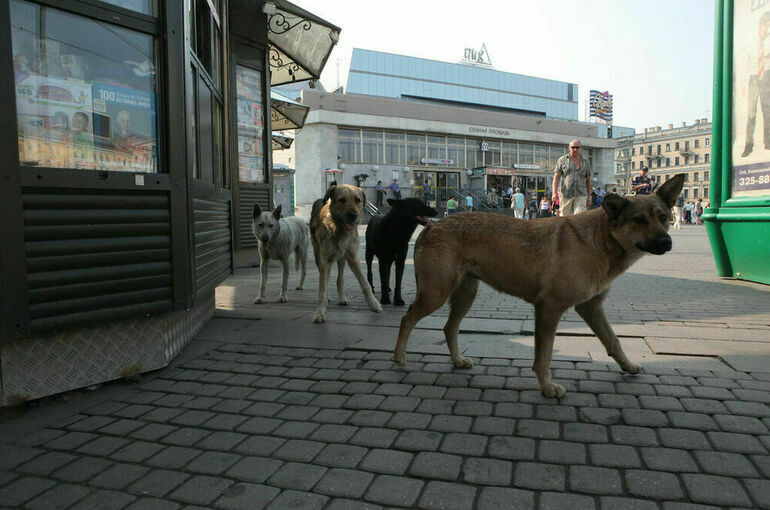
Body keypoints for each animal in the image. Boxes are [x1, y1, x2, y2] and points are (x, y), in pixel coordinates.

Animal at [308, 184, 380, 322]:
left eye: (357, 200)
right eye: (341, 200)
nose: (353, 215)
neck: (339, 231)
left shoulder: (353, 257)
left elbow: (365, 283)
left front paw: (374, 304)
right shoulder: (324, 260)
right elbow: (322, 288)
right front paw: (320, 311)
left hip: (342, 259)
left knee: (340, 278)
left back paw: (342, 298)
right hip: (318, 255)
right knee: (324, 277)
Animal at [396, 175, 684, 398]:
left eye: (663, 217)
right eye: (639, 220)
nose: (667, 242)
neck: (599, 241)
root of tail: (432, 227)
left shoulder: (591, 308)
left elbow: (613, 341)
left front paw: (629, 366)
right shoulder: (549, 309)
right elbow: (543, 357)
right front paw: (547, 388)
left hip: (465, 294)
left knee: (449, 328)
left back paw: (456, 361)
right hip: (436, 292)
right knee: (407, 319)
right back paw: (399, 358)